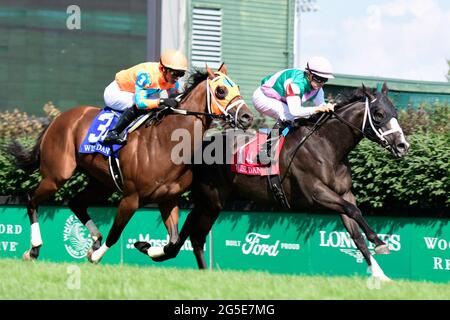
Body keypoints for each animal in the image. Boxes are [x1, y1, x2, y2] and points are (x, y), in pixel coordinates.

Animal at [7, 64, 253, 262]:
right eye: (221, 91)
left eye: (238, 87)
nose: (247, 117)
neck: (166, 143)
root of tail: (57, 119)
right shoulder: (131, 198)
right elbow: (116, 233)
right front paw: (97, 256)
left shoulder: (168, 198)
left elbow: (173, 243)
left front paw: (144, 246)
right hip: (57, 175)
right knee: (31, 200)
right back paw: (34, 249)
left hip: (100, 183)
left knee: (76, 203)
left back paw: (94, 239)